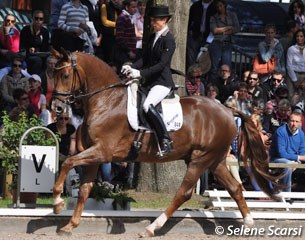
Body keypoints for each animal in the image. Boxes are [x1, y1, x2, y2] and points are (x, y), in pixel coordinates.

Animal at [51, 50, 276, 236]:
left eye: (65, 75)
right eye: (52, 74)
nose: (57, 108)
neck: (107, 101)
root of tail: (228, 111)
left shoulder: (102, 151)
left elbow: (67, 163)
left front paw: (57, 202)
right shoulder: (94, 155)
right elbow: (84, 189)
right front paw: (70, 225)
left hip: (200, 159)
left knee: (183, 193)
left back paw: (151, 228)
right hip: (215, 160)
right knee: (235, 187)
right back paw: (249, 224)